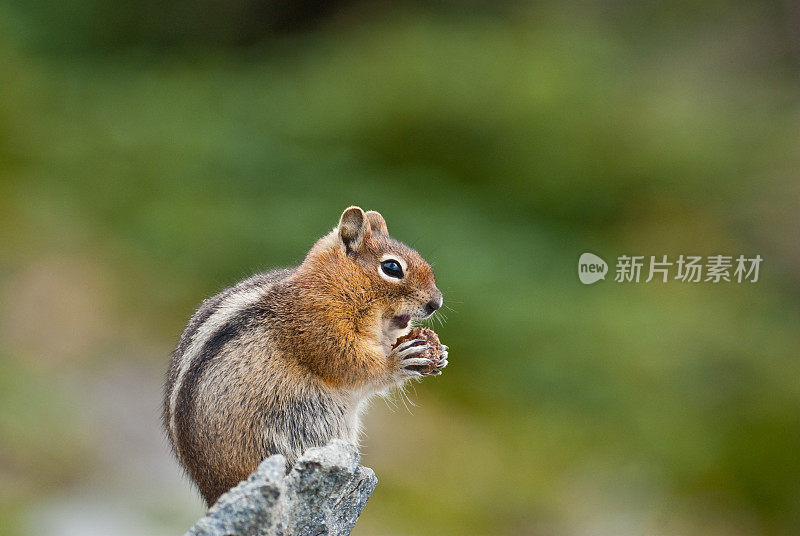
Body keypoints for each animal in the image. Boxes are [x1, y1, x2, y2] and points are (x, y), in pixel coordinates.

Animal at [162, 205, 450, 506]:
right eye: (392, 268)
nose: (436, 303)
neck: (334, 286)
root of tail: (214, 494)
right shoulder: (319, 327)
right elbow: (353, 366)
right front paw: (400, 360)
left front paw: (438, 353)